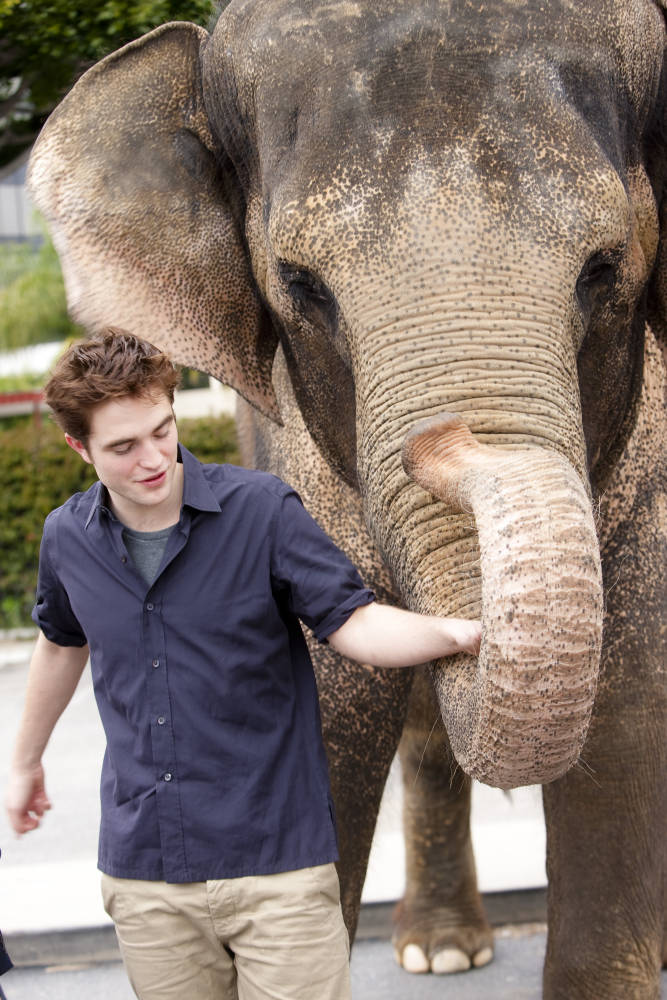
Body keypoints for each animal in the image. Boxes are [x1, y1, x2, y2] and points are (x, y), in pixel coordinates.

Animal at [27, 0, 666, 996]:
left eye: (602, 266)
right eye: (302, 285)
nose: (445, 441)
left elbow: (629, 723)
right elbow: (319, 722)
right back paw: (439, 952)